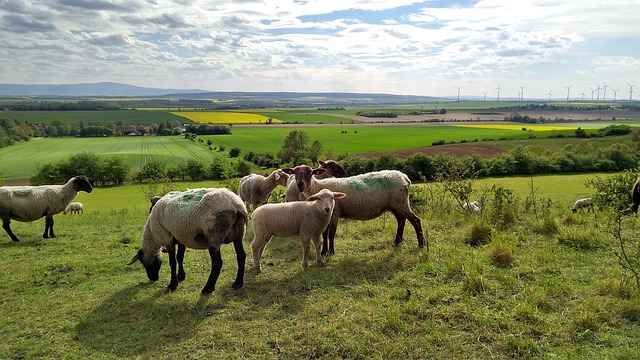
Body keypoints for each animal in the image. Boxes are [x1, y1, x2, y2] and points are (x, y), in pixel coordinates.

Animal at [282, 166, 424, 256]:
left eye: (310, 172)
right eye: (294, 172)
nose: (300, 184)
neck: (319, 187)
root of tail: (405, 177)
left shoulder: (335, 212)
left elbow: (331, 233)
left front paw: (331, 252)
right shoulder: (327, 213)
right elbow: (325, 233)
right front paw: (324, 252)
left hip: (401, 202)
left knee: (415, 221)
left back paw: (421, 244)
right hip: (394, 205)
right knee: (401, 220)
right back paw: (397, 242)